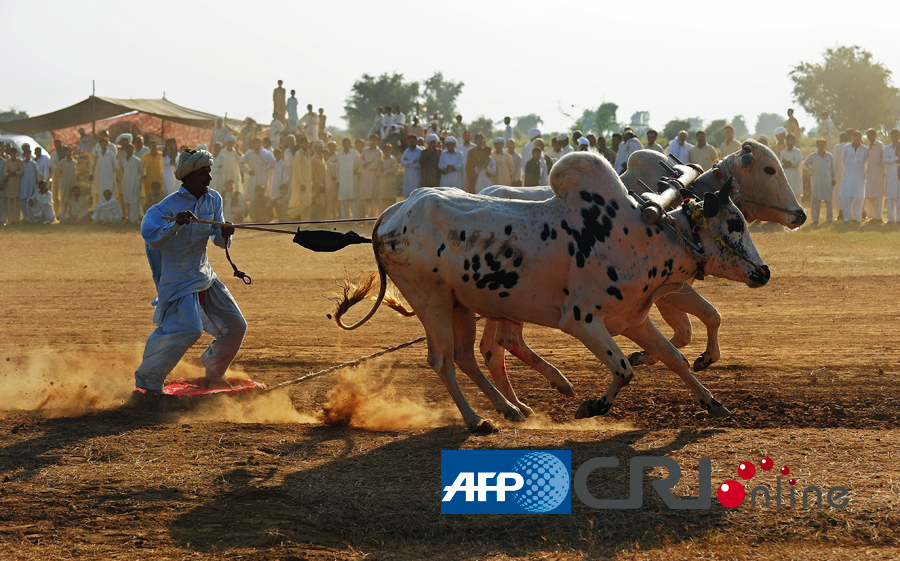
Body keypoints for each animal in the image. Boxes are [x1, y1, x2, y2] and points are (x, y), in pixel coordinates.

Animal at [334, 151, 768, 430]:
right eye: (733, 222)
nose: (763, 272)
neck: (641, 236)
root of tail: (391, 213)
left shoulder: (633, 321)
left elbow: (675, 359)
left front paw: (714, 404)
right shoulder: (582, 322)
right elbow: (624, 369)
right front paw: (592, 406)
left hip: (462, 305)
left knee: (467, 356)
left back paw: (512, 408)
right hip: (432, 302)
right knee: (443, 360)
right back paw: (477, 420)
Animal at [478, 138, 800, 396]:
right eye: (769, 169)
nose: (800, 214)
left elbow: (688, 331)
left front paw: (645, 356)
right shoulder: (672, 291)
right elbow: (706, 318)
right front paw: (701, 358)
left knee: (493, 348)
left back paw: (516, 402)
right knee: (505, 342)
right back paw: (552, 386)